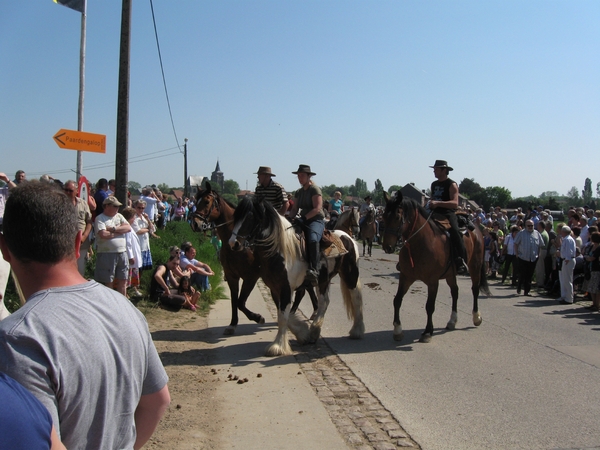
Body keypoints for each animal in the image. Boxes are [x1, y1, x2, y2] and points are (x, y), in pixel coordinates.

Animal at [382, 192, 490, 342]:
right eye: (383, 216)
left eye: (397, 217)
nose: (387, 247)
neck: (421, 243)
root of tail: (476, 229)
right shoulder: (406, 277)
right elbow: (397, 300)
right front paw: (398, 330)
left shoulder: (433, 282)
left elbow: (430, 306)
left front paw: (427, 332)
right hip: (451, 274)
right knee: (455, 291)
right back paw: (452, 321)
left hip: (475, 266)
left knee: (475, 290)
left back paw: (476, 317)